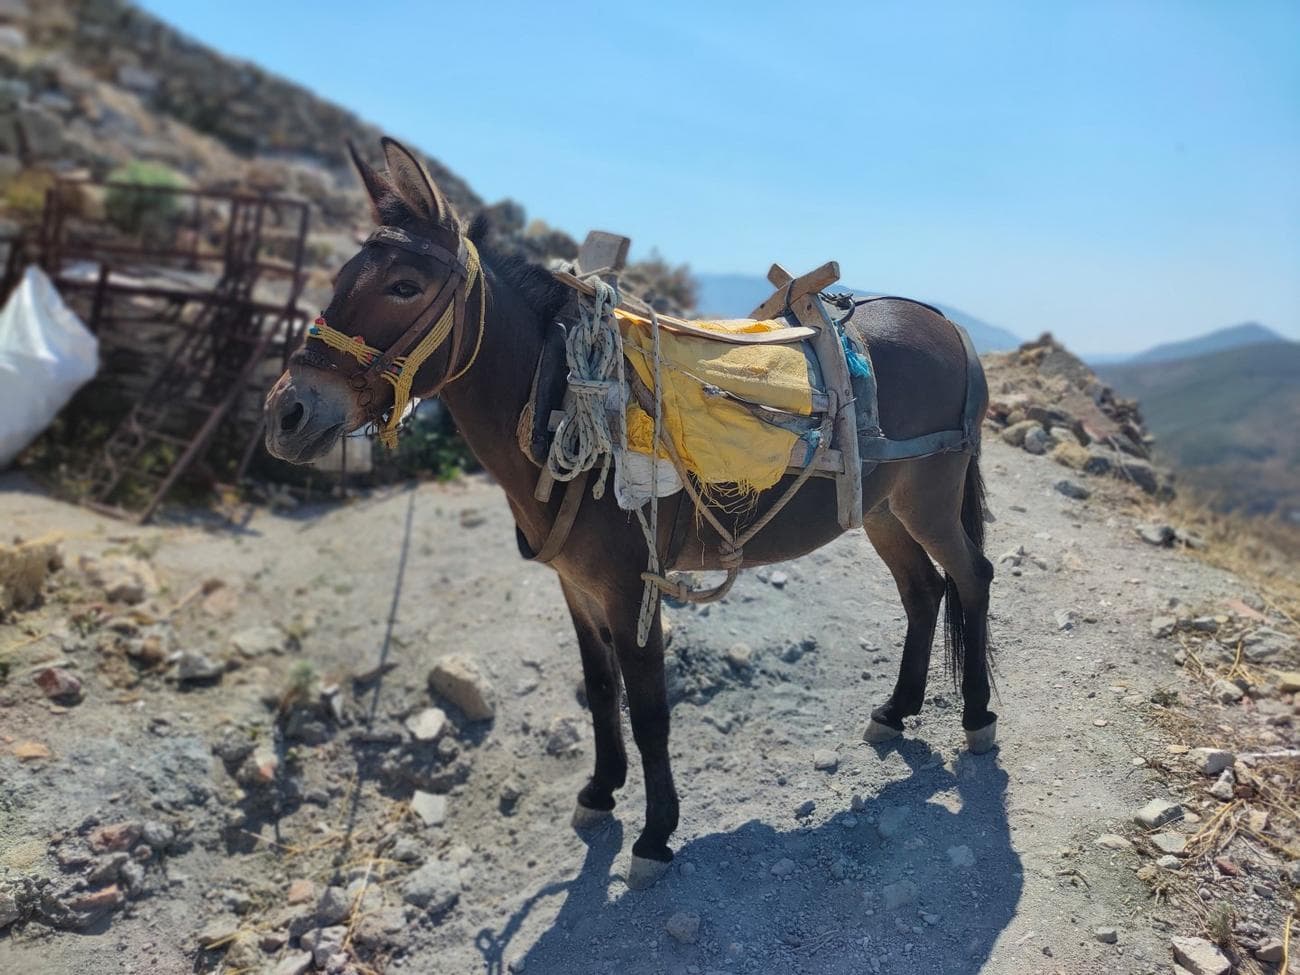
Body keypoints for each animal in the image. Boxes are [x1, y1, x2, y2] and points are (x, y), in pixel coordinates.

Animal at [264, 137, 996, 889]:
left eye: (404, 286)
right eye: (341, 275)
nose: (288, 413)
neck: (560, 400)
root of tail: (944, 322)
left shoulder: (629, 587)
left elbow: (648, 711)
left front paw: (655, 833)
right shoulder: (577, 585)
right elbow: (598, 687)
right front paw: (599, 789)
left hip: (930, 498)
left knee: (971, 577)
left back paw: (976, 716)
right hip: (884, 508)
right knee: (923, 590)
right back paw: (898, 709)